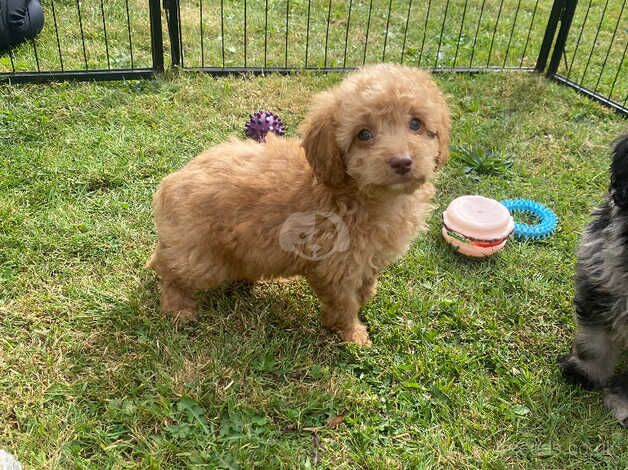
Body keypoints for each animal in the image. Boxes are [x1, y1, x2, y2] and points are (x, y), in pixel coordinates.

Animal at [149, 64, 448, 346]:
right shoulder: (335, 265)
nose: (402, 162)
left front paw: (366, 297)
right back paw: (177, 307)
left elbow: (366, 282)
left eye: (416, 124)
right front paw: (353, 335)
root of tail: (172, 181)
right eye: (363, 134)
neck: (356, 192)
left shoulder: (368, 256)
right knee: (169, 269)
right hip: (202, 257)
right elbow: (344, 304)